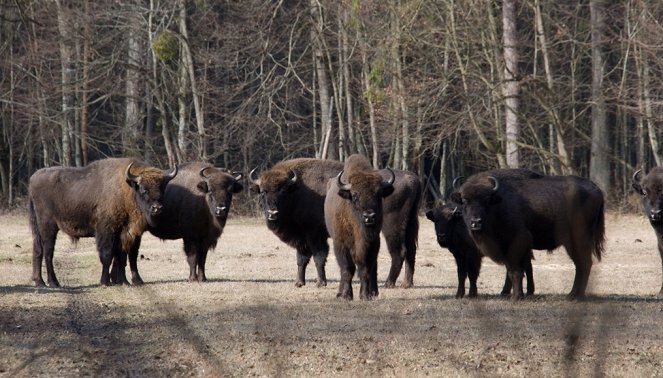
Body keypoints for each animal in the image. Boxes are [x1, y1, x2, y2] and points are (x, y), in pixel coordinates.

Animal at [28, 158, 176, 288]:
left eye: (162, 188)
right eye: (144, 189)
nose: (157, 208)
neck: (126, 189)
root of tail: (32, 179)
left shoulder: (124, 234)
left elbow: (121, 257)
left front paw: (124, 282)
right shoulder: (106, 231)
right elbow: (107, 255)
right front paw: (105, 282)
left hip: (37, 228)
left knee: (38, 250)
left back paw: (39, 282)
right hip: (48, 227)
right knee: (48, 252)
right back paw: (53, 283)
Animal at [249, 158, 420, 288]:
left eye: (283, 191)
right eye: (263, 191)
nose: (272, 213)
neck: (297, 190)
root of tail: (411, 178)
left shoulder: (314, 235)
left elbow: (318, 257)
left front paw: (320, 283)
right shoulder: (302, 238)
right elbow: (301, 260)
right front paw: (299, 283)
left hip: (391, 227)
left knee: (399, 252)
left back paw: (388, 283)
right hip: (410, 224)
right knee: (411, 251)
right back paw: (406, 283)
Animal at [326, 155, 396, 300]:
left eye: (378, 194)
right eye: (355, 195)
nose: (369, 216)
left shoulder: (372, 243)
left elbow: (365, 270)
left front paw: (365, 295)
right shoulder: (341, 244)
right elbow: (347, 269)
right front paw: (346, 295)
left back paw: (373, 292)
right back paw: (340, 293)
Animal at [454, 170, 604, 300]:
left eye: (486, 200)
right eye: (465, 201)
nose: (476, 222)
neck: (498, 204)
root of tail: (596, 189)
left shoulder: (516, 244)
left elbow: (515, 271)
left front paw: (516, 297)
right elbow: (517, 270)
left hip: (577, 240)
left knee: (584, 264)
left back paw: (575, 296)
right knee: (581, 265)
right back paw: (573, 295)